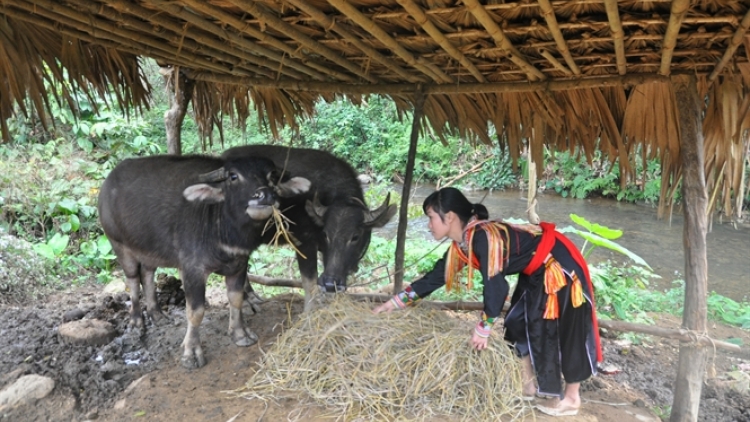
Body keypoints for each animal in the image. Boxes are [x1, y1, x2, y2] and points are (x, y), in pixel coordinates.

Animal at [98, 153, 310, 368]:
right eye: (233, 176)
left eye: (272, 176)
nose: (265, 195)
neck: (222, 230)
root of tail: (108, 183)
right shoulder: (193, 270)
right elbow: (196, 311)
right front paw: (191, 353)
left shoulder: (239, 264)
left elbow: (236, 299)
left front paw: (240, 334)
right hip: (119, 244)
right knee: (133, 279)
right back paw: (136, 321)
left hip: (150, 251)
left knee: (147, 275)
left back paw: (157, 314)